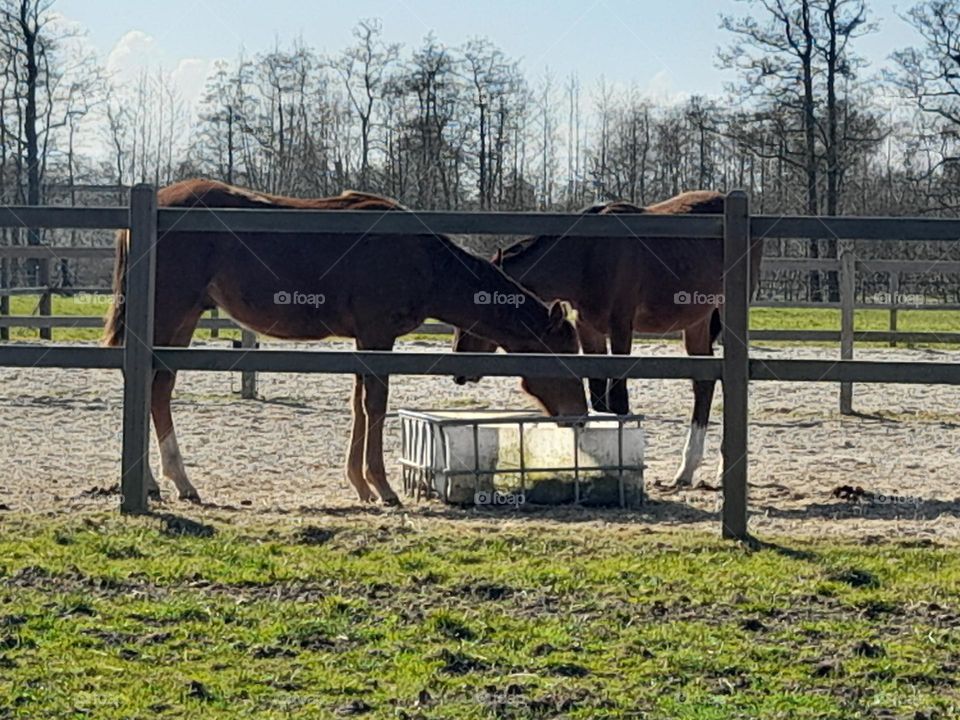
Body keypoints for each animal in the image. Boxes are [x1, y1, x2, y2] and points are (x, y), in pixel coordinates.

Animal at [103, 179, 587, 506]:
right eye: (564, 356)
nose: (579, 416)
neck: (420, 258)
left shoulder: (364, 340)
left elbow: (359, 405)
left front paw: (360, 484)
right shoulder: (377, 335)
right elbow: (375, 405)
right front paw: (383, 487)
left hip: (183, 318)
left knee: (158, 388)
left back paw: (172, 482)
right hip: (169, 313)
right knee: (147, 383)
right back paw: (164, 482)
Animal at [453, 190, 763, 488]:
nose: (460, 372)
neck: (588, 255)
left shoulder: (621, 328)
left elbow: (618, 398)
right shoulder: (589, 330)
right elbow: (599, 398)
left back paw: (723, 471)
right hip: (696, 322)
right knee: (704, 383)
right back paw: (685, 471)